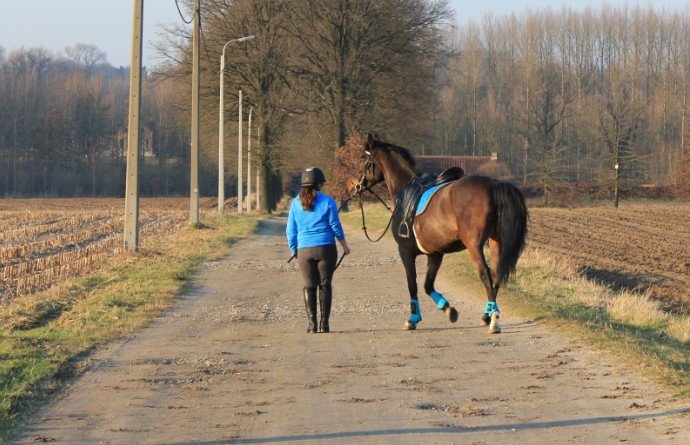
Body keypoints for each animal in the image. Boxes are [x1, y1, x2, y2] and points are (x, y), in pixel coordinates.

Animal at [354, 133, 528, 332]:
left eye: (363, 158)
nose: (356, 186)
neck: (405, 190)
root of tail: (493, 185)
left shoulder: (405, 251)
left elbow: (413, 284)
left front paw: (413, 318)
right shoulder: (435, 254)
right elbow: (427, 286)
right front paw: (448, 309)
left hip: (474, 245)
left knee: (485, 273)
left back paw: (494, 320)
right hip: (495, 242)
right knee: (496, 274)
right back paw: (487, 315)